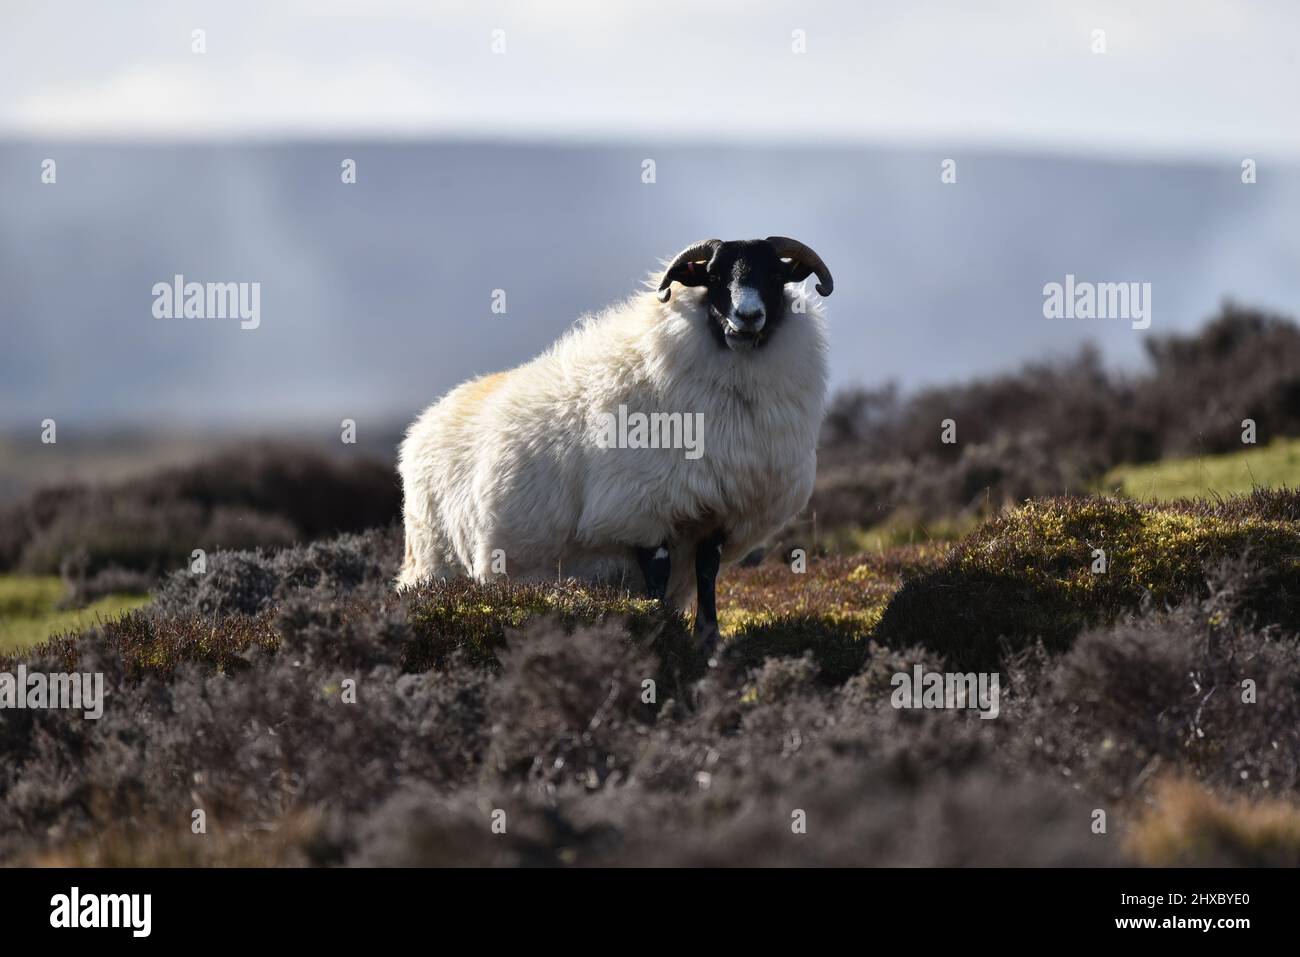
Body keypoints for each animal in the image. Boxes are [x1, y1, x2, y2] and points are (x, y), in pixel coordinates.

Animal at [397, 236, 833, 653]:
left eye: (775, 275)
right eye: (713, 276)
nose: (748, 316)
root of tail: (422, 425)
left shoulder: (714, 514)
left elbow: (707, 574)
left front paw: (708, 642)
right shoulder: (640, 511)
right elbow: (657, 577)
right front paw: (663, 630)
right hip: (437, 560)